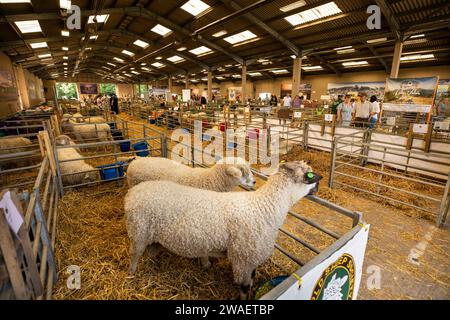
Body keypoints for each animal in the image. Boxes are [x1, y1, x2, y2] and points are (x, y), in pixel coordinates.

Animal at [125, 161, 322, 298]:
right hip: (138, 231)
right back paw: (132, 272)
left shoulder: (250, 261)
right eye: (310, 176)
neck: (263, 207)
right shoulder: (243, 259)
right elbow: (244, 288)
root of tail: (132, 193)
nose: (318, 186)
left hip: (149, 233)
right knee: (135, 254)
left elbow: (251, 282)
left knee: (151, 249)